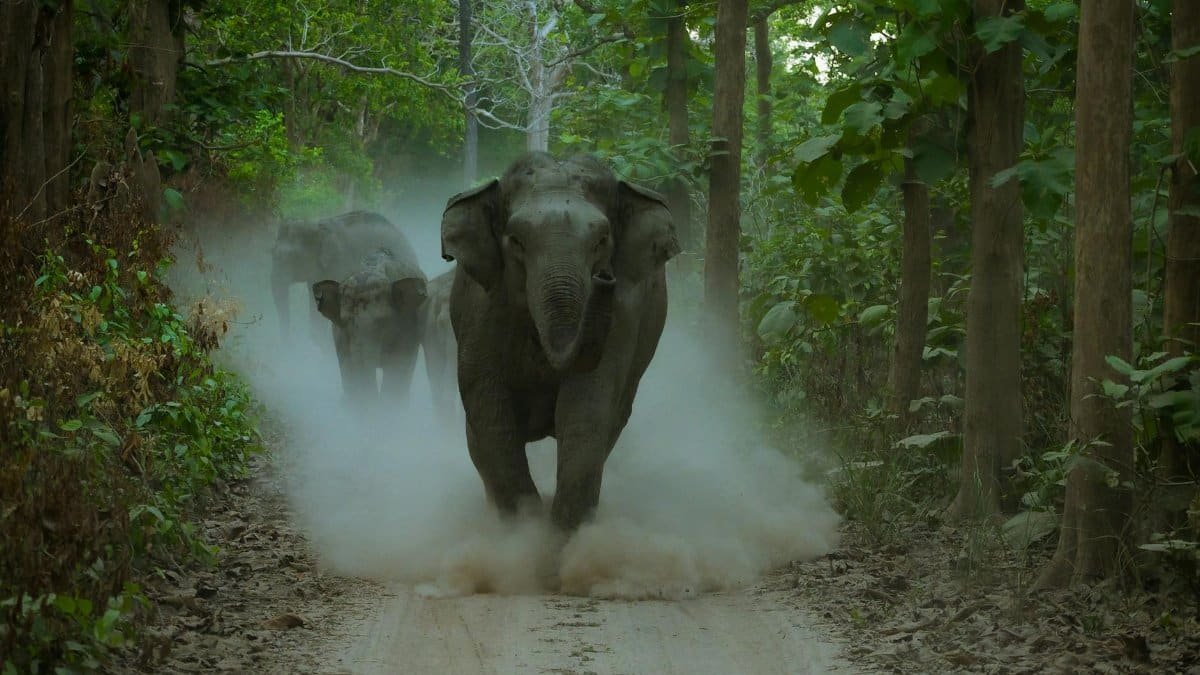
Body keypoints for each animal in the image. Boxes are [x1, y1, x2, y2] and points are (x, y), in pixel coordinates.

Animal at [311, 245, 428, 406]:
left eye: (382, 322)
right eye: (343, 322)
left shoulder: (407, 325)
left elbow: (397, 369)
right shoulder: (340, 336)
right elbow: (348, 368)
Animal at [440, 151, 680, 532]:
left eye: (601, 241)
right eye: (516, 241)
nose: (604, 278)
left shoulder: (625, 315)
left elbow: (587, 406)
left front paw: (555, 539)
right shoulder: (481, 306)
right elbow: (488, 406)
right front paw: (524, 529)